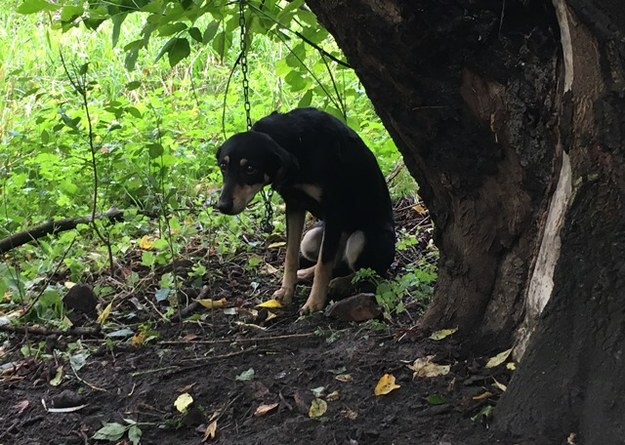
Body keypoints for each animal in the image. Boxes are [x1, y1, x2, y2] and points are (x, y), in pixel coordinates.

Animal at [214, 107, 394, 312]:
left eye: (250, 168)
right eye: (223, 166)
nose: (222, 206)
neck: (296, 143)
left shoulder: (334, 211)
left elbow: (324, 265)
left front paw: (314, 302)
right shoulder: (294, 205)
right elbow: (291, 255)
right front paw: (286, 291)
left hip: (361, 240)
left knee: (371, 270)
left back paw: (343, 283)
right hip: (311, 239)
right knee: (333, 261)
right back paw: (307, 272)